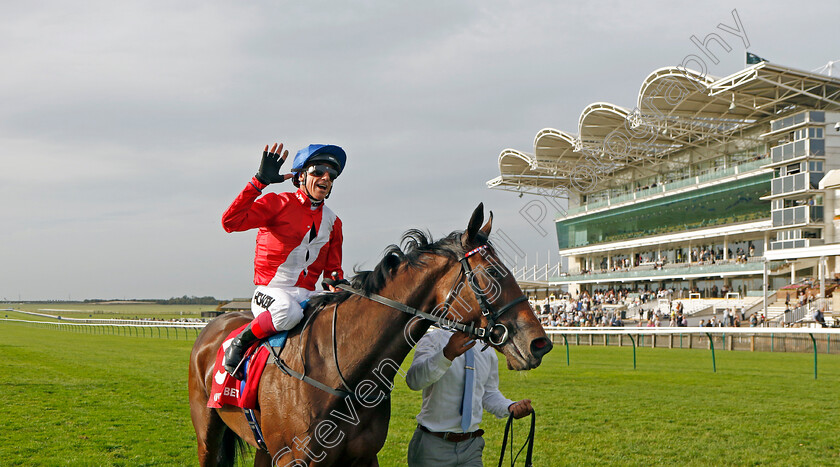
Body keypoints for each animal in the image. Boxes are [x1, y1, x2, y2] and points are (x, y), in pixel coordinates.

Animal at [192, 205, 556, 467]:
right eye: (493, 272)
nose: (540, 344)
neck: (341, 375)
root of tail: (214, 326)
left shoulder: (364, 457)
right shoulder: (296, 460)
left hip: (264, 449)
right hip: (207, 433)